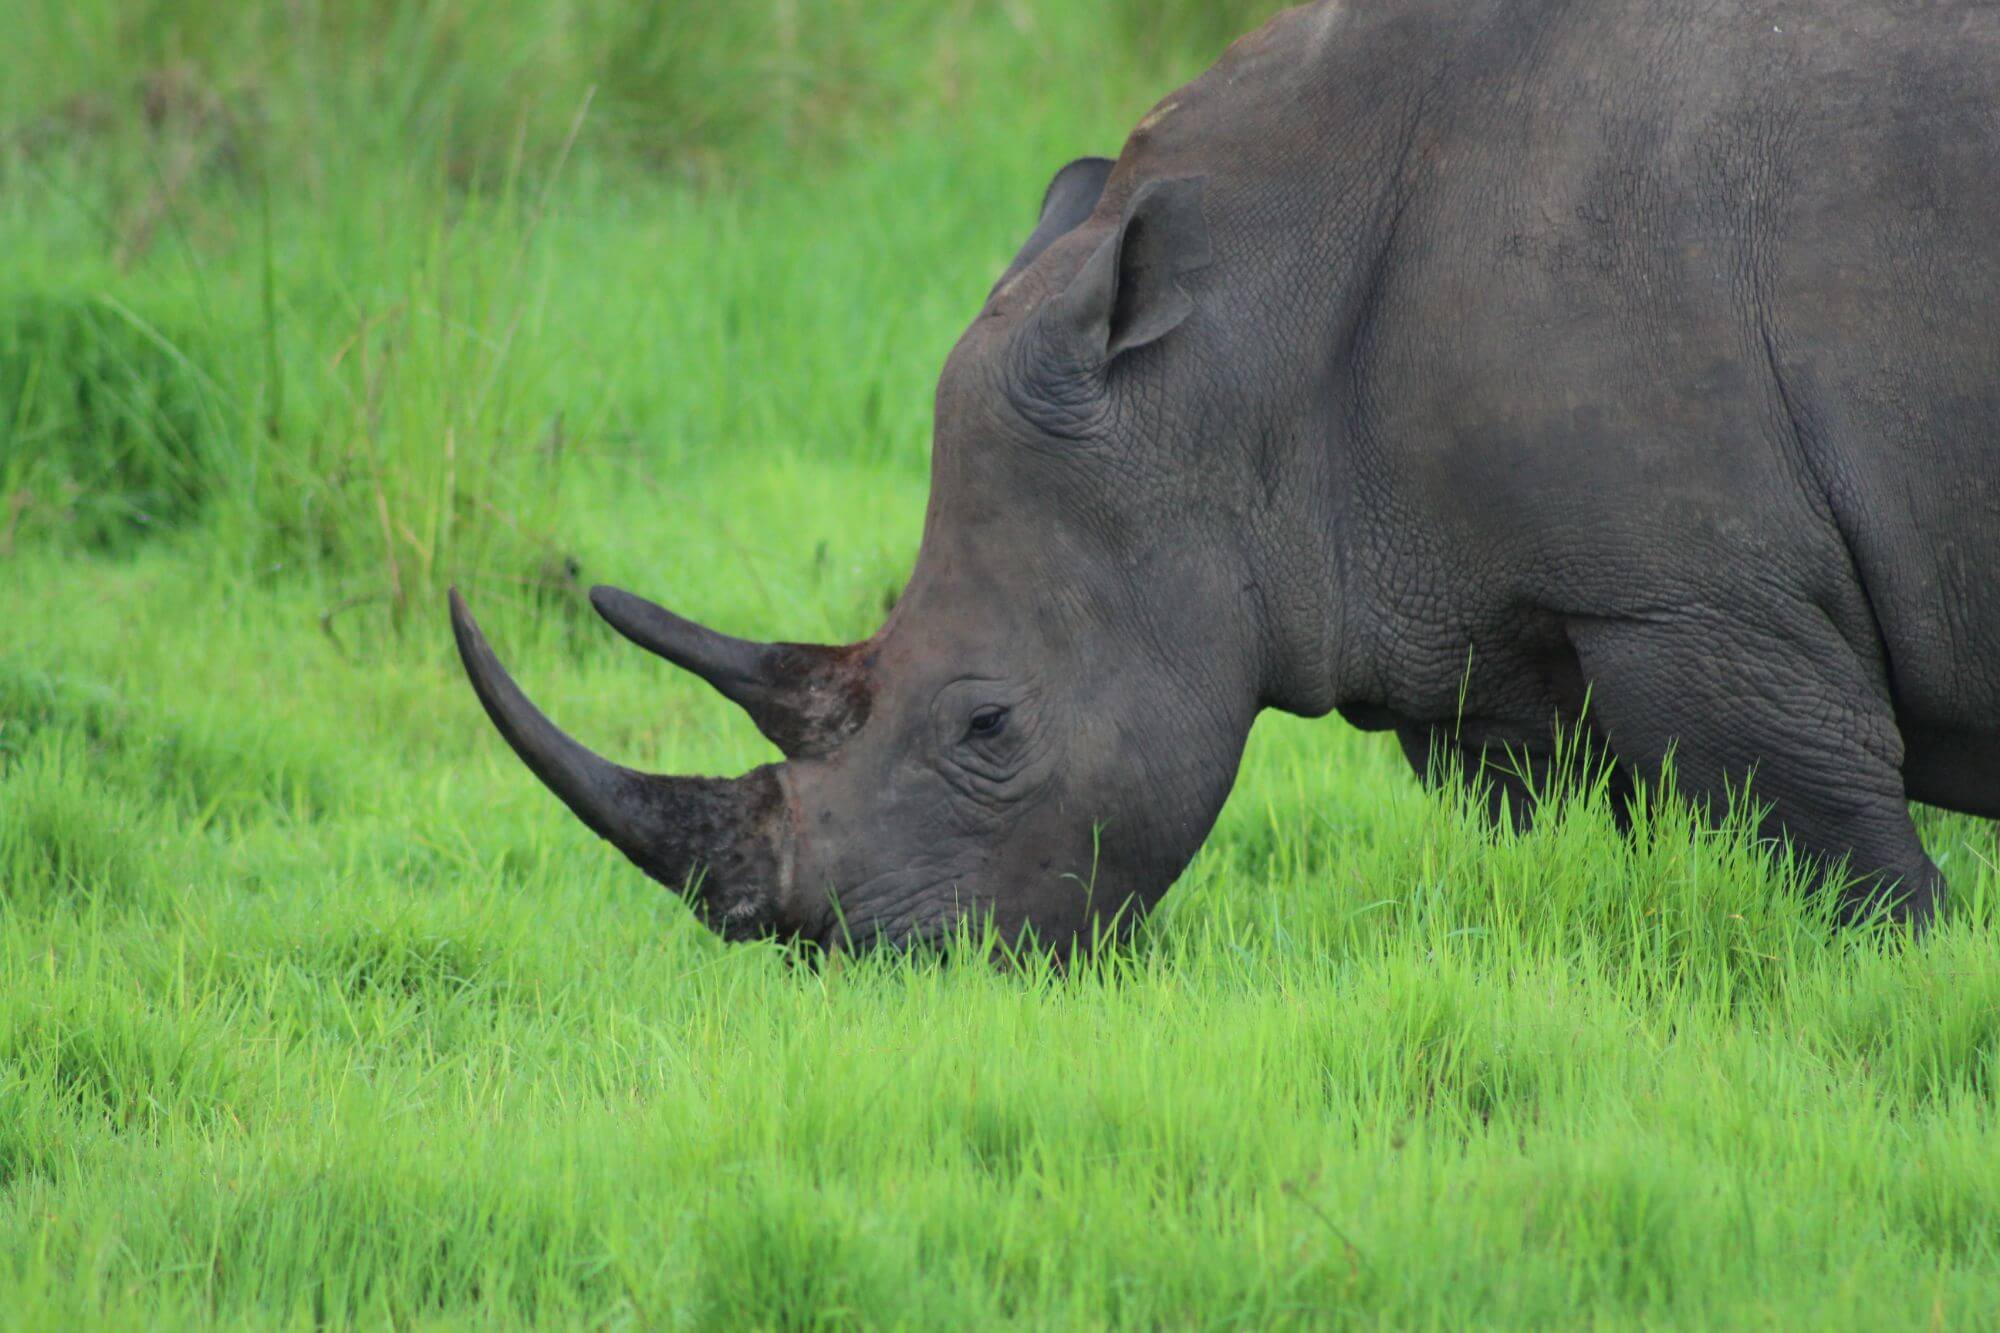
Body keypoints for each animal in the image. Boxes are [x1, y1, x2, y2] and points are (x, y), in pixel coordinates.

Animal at [451, 0, 2000, 951]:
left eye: (989, 727)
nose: (860, 960)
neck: (1234, 346)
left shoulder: (1691, 600)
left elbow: (1838, 856)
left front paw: (1918, 975)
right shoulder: (1484, 619)